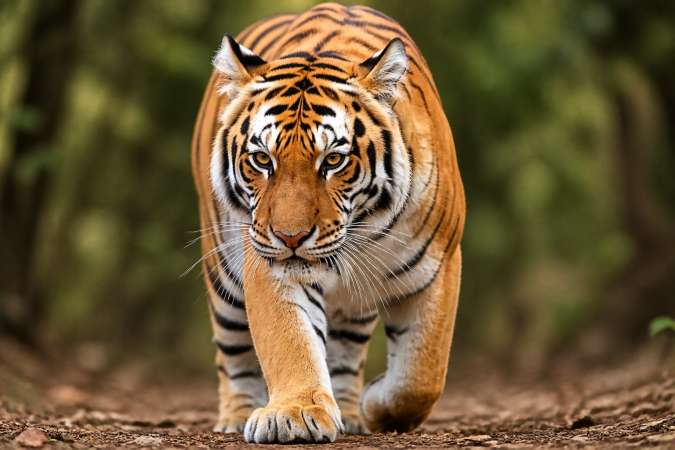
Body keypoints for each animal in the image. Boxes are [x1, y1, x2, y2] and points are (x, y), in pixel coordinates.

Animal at [191, 2, 465, 444]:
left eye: (333, 160)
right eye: (262, 159)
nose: (291, 237)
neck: (363, 230)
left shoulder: (440, 264)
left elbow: (421, 374)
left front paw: (375, 405)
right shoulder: (271, 266)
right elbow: (290, 342)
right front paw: (296, 413)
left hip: (355, 308)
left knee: (345, 355)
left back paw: (351, 412)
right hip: (223, 275)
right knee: (234, 355)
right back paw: (237, 414)